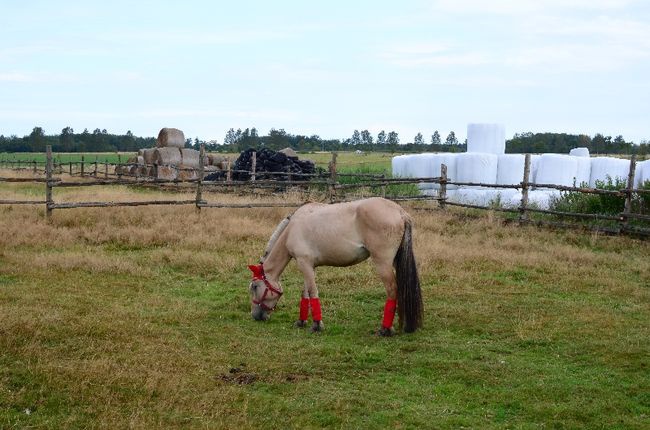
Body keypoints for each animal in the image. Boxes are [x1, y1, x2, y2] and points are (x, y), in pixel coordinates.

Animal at [246, 198, 422, 336]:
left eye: (255, 287)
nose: (255, 316)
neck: (292, 228)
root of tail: (400, 212)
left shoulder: (304, 263)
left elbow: (313, 292)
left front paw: (317, 325)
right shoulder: (309, 266)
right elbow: (305, 294)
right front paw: (301, 321)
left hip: (383, 263)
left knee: (392, 290)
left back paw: (385, 329)